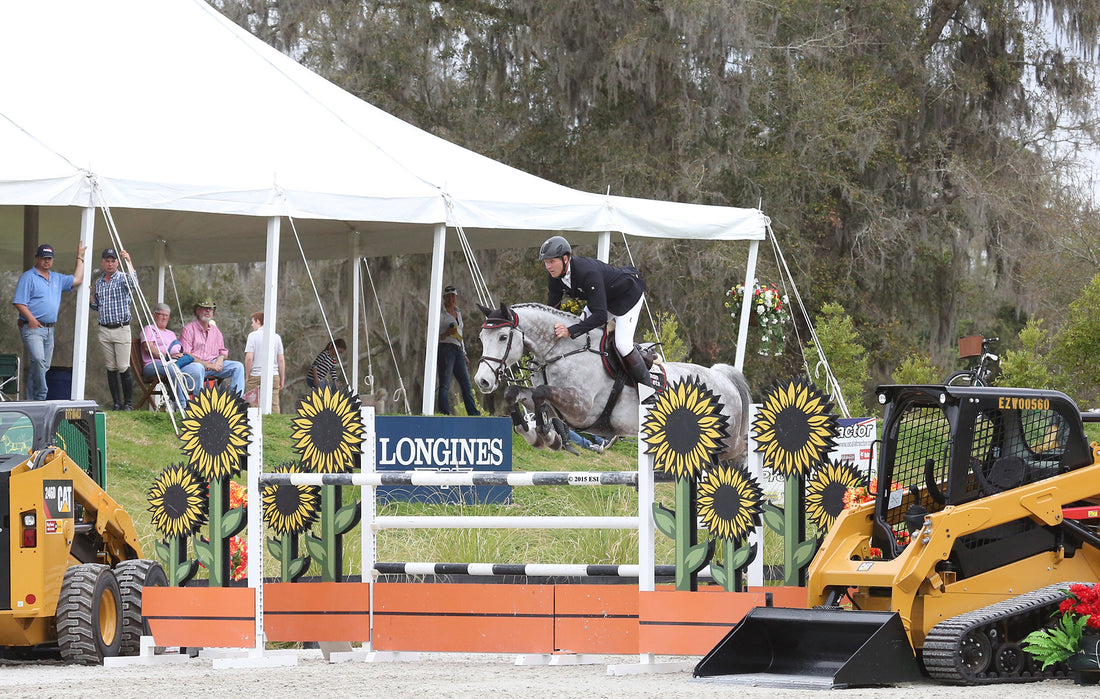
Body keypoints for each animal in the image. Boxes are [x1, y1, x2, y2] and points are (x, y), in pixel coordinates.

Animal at [473, 301, 748, 462]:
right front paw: (537, 435)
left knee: (738, 454)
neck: (562, 350)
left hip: (723, 445)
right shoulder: (554, 404)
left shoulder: (581, 408)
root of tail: (723, 377)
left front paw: (545, 436)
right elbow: (517, 393)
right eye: (481, 337)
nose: (482, 381)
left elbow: (541, 392)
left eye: (503, 336)